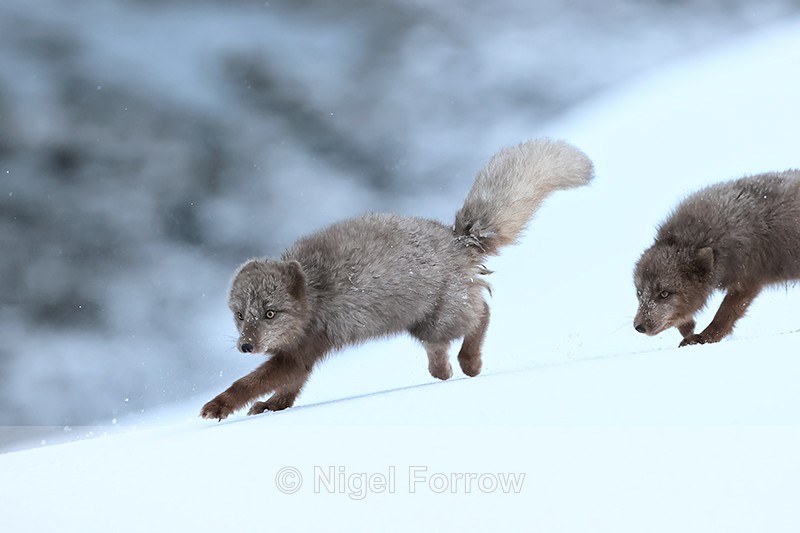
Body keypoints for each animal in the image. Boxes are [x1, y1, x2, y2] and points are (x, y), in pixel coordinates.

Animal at [200, 138, 594, 420]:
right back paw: (442, 370)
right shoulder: (302, 355)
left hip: (442, 317)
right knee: (449, 339)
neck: (313, 293)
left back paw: (469, 362)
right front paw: (270, 408)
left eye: (270, 313)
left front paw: (218, 406)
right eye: (240, 315)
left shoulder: (302, 350)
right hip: (422, 324)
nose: (246, 346)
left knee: (481, 313)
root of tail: (457, 239)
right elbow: (289, 390)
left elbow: (252, 382)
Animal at [634, 170, 800, 347]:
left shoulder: (747, 281)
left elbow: (723, 316)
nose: (639, 327)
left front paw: (705, 338)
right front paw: (688, 329)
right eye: (639, 293)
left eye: (664, 294)